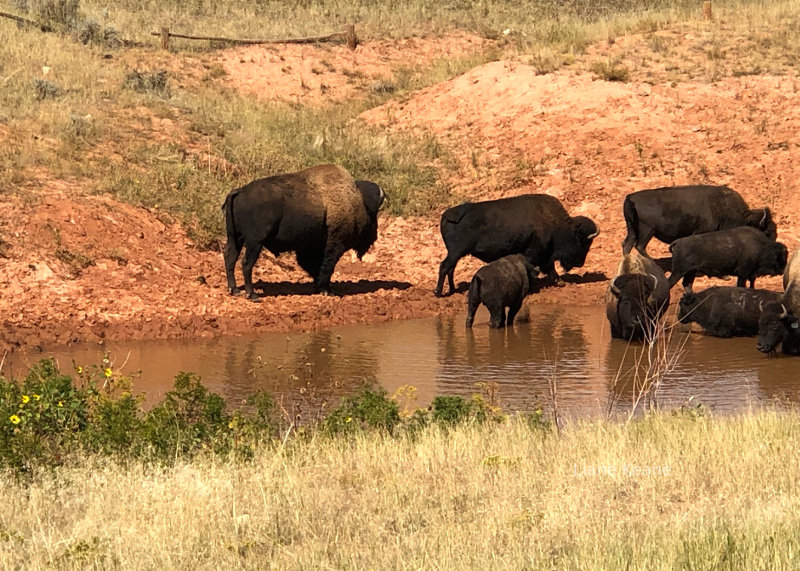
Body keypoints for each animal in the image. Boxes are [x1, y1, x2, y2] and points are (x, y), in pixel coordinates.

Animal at [434, 194, 596, 298]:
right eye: (584, 242)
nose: (580, 263)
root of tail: (448, 214)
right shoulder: (536, 253)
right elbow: (541, 267)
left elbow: (549, 268)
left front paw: (560, 282)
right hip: (455, 253)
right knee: (444, 267)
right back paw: (438, 293)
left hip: (456, 254)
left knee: (450, 269)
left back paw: (452, 290)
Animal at [620, 185, 780, 256]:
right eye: (767, 232)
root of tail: (631, 197)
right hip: (647, 230)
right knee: (639, 246)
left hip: (633, 229)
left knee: (627, 245)